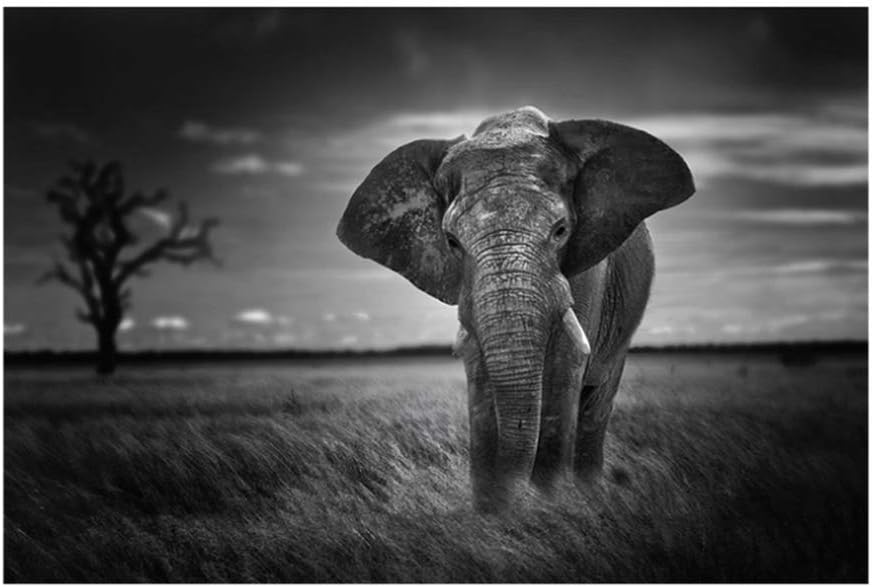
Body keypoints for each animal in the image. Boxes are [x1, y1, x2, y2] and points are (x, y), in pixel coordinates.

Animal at [337, 106, 694, 511]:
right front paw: (493, 515)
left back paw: (589, 495)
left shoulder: (590, 268)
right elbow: (479, 368)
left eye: (560, 230)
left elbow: (565, 364)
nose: (511, 501)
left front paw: (550, 508)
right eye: (452, 241)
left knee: (595, 405)